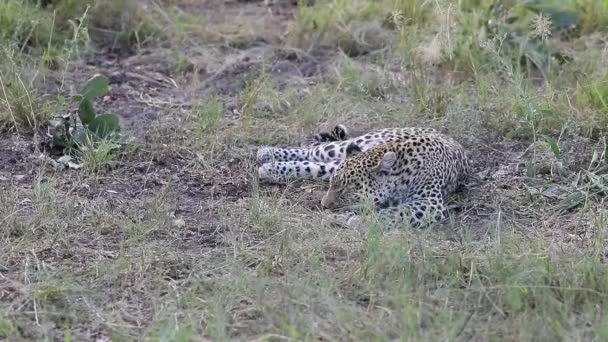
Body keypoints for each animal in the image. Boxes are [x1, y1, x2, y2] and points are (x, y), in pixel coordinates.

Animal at [256, 125, 470, 227]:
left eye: (347, 190)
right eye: (332, 186)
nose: (324, 206)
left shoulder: (430, 203)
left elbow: (394, 212)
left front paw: (355, 220)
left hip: (335, 162)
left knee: (314, 165)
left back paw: (269, 168)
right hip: (345, 146)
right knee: (311, 150)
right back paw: (266, 154)